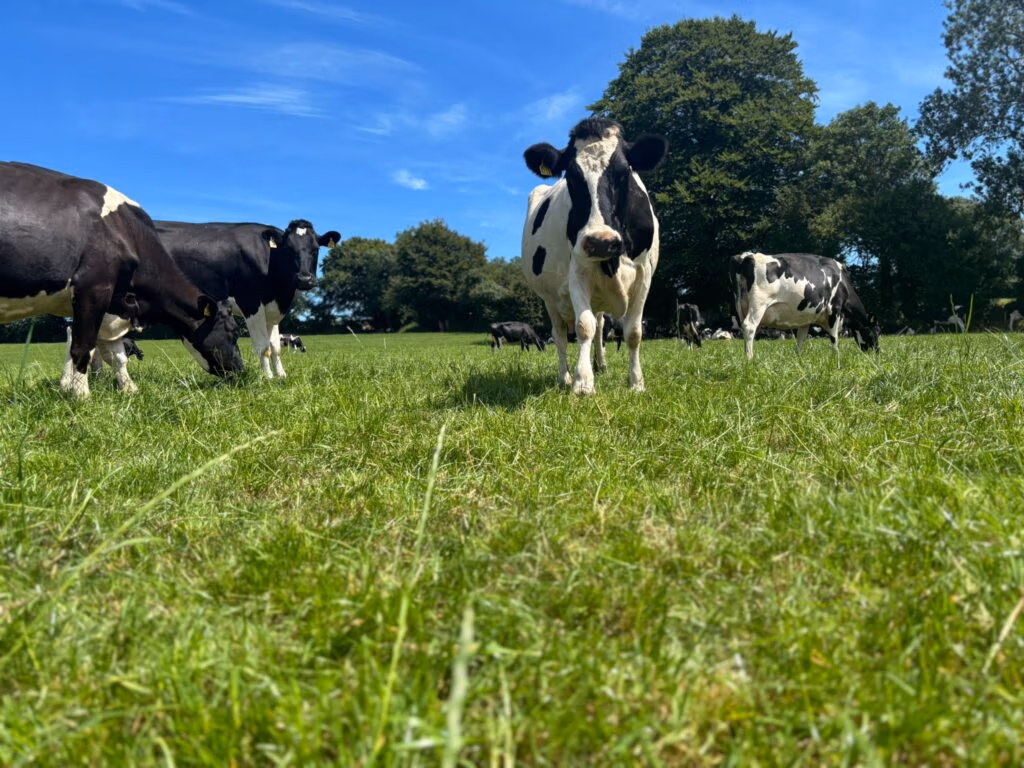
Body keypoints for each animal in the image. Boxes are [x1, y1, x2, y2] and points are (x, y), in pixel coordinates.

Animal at [0, 162, 243, 397]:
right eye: (233, 331)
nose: (242, 370)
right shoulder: (94, 289)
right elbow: (83, 347)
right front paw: (81, 396)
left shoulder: (113, 307)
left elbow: (117, 356)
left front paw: (129, 389)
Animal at [155, 219, 339, 378]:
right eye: (288, 249)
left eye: (316, 249)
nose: (304, 279)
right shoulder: (251, 303)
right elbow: (263, 347)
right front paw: (268, 378)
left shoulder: (271, 309)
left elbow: (275, 347)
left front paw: (281, 375)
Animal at [521, 117, 668, 394]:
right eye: (571, 177)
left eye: (624, 172)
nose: (601, 241)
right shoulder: (577, 272)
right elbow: (583, 326)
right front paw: (582, 382)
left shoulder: (644, 276)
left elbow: (633, 332)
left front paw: (636, 382)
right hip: (549, 297)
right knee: (560, 334)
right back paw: (565, 377)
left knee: (600, 327)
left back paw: (601, 365)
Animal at [730, 251, 880, 360]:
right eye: (874, 332)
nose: (877, 352)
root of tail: (747, 256)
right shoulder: (834, 309)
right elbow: (834, 337)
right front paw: (836, 358)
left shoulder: (806, 319)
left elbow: (801, 339)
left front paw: (798, 359)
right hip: (759, 304)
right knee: (749, 326)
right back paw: (749, 359)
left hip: (740, 305)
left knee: (745, 329)